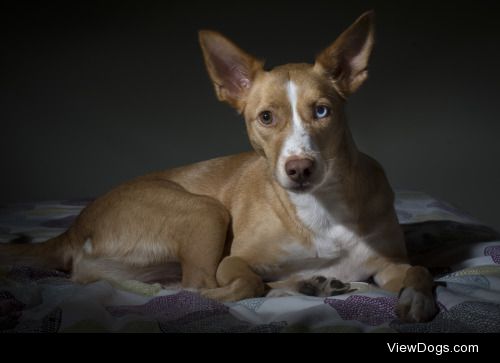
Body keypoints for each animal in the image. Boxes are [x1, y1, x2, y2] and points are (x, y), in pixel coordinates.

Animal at [0, 10, 438, 324]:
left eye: (321, 111)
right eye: (265, 118)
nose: (299, 169)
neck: (321, 209)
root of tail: (75, 226)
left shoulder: (388, 265)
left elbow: (420, 271)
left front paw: (418, 299)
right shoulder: (235, 259)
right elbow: (246, 282)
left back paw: (313, 284)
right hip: (205, 210)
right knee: (198, 285)